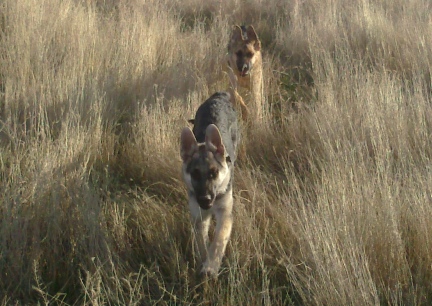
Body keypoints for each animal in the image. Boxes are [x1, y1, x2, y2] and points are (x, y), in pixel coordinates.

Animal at [180, 91, 240, 278]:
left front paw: (211, 266)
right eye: (195, 174)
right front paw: (204, 262)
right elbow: (201, 243)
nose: (205, 200)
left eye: (214, 173)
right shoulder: (199, 217)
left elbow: (219, 240)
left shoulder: (225, 214)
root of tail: (219, 96)